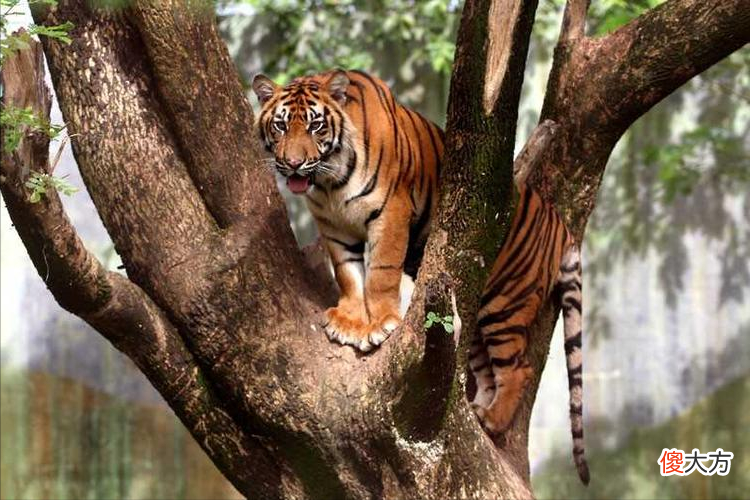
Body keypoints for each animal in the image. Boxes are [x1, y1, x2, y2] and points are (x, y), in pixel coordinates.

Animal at [252, 69, 588, 484]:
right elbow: (348, 275)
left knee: (518, 368)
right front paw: (349, 321)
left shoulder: (391, 212)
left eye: (316, 126)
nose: (294, 164)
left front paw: (379, 324)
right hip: (475, 310)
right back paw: (477, 412)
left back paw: (493, 419)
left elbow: (380, 273)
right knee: (482, 369)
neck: (330, 185)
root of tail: (561, 223)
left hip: (505, 302)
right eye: (280, 126)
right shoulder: (333, 227)